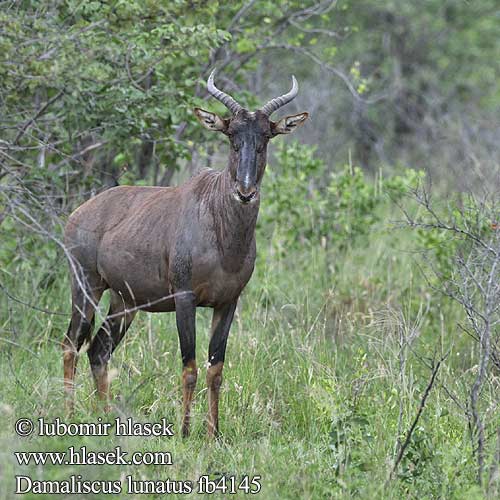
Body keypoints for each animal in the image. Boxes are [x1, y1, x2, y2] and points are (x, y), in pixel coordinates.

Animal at [62, 70, 308, 438]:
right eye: (231, 135)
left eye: (266, 136)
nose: (245, 192)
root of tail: (79, 213)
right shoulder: (184, 298)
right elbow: (189, 367)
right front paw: (185, 432)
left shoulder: (227, 303)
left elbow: (215, 369)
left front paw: (213, 434)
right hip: (86, 287)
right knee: (71, 345)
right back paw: (67, 415)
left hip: (125, 301)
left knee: (98, 350)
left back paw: (104, 418)